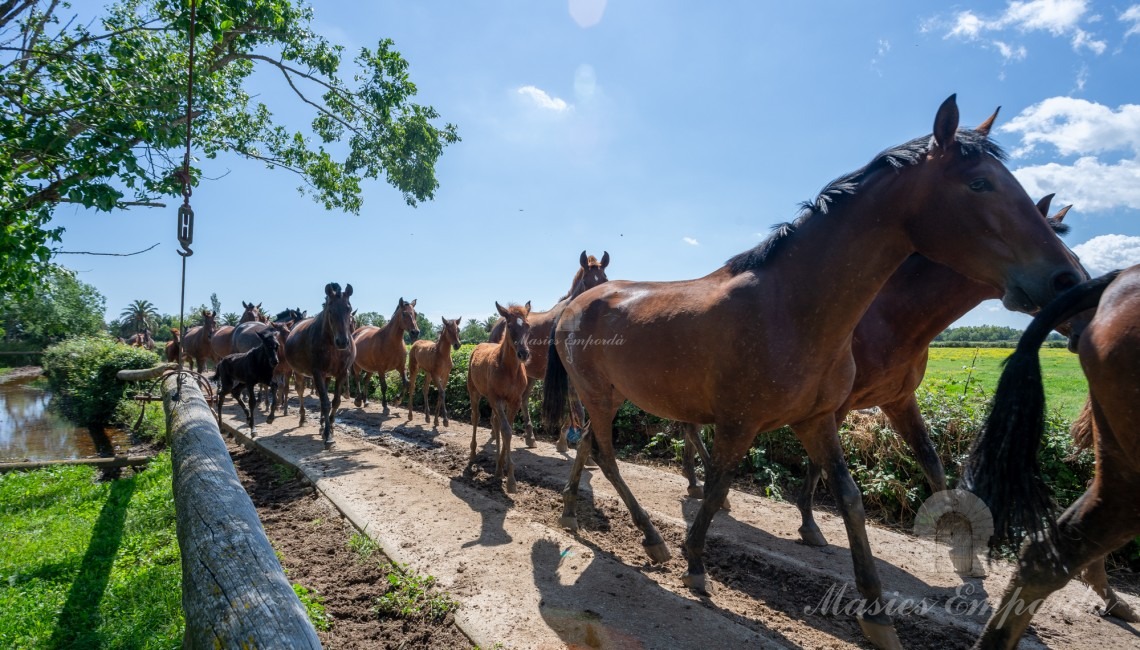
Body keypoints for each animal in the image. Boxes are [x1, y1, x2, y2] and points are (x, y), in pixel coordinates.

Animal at [282, 282, 353, 444]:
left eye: (349, 309)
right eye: (330, 310)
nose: (342, 341)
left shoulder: (341, 373)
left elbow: (335, 401)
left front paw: (330, 428)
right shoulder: (317, 373)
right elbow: (325, 403)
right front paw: (328, 436)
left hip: (327, 375)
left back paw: (321, 424)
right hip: (299, 373)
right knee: (301, 392)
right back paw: (303, 418)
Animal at [467, 303, 528, 490]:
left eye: (528, 326)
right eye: (509, 325)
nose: (524, 353)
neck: (509, 370)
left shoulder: (514, 401)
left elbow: (507, 429)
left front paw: (501, 469)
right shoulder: (496, 398)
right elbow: (506, 430)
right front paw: (511, 480)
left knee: (494, 421)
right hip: (475, 391)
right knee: (476, 417)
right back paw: (472, 453)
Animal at [492, 250, 615, 447]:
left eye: (605, 279)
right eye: (586, 282)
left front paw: (563, 441)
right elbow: (578, 409)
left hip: (530, 375)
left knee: (524, 399)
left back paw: (530, 437)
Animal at [542, 93, 1085, 643]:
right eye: (979, 183)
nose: (1068, 281)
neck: (792, 307)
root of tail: (573, 306)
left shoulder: (819, 419)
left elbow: (851, 498)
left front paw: (877, 614)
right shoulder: (739, 424)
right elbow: (716, 491)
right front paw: (695, 564)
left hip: (609, 395)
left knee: (589, 446)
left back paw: (571, 511)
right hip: (600, 395)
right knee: (606, 455)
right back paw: (650, 538)